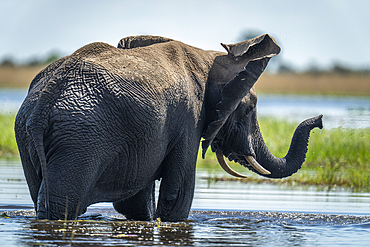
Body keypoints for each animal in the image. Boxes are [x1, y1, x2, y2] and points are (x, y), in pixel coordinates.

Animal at [15, 34, 320, 222]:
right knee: (61, 204)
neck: (209, 59)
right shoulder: (189, 118)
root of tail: (44, 101)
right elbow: (179, 195)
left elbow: (137, 204)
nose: (319, 120)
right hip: (81, 139)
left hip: (31, 135)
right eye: (249, 109)